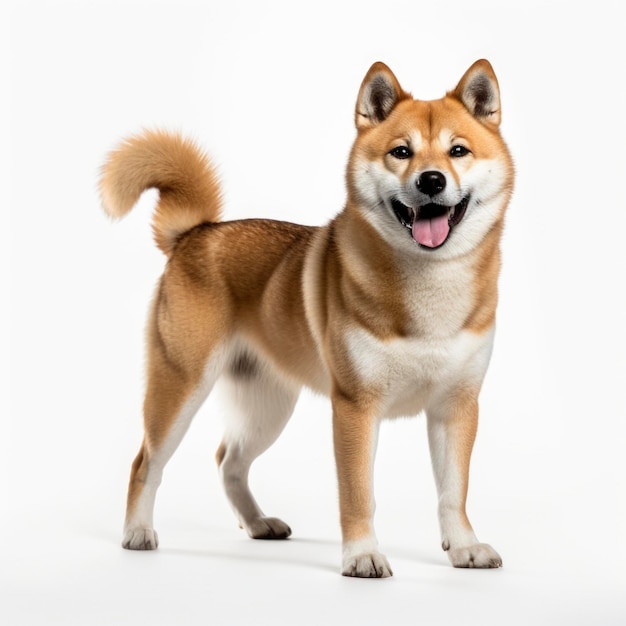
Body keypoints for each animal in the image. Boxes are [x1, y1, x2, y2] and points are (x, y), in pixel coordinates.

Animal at [100, 58, 512, 576]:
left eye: (458, 150)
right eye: (401, 152)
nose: (431, 180)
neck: (430, 287)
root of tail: (194, 233)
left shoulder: (456, 407)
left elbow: (452, 492)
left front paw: (463, 547)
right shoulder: (355, 408)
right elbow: (358, 494)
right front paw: (362, 555)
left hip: (269, 407)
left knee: (228, 461)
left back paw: (257, 523)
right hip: (180, 386)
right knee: (146, 463)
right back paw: (137, 532)